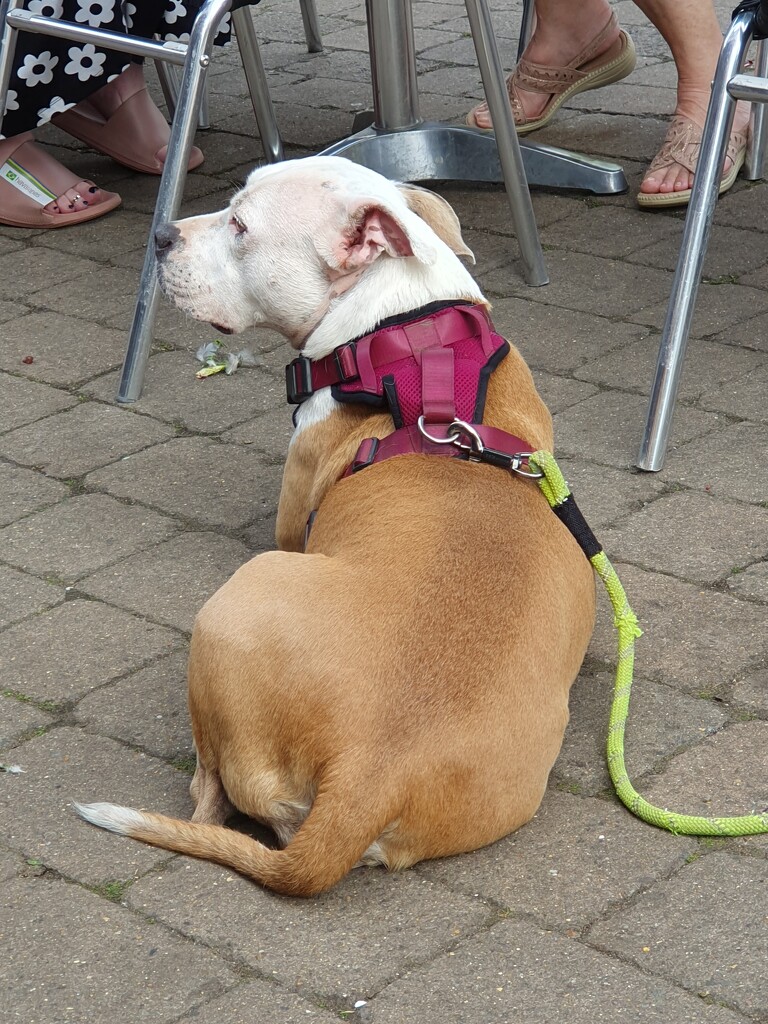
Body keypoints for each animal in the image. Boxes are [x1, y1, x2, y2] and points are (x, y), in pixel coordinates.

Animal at [75, 157, 598, 897]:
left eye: (240, 225)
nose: (160, 235)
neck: (401, 328)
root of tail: (366, 777)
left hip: (236, 601)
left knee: (210, 791)